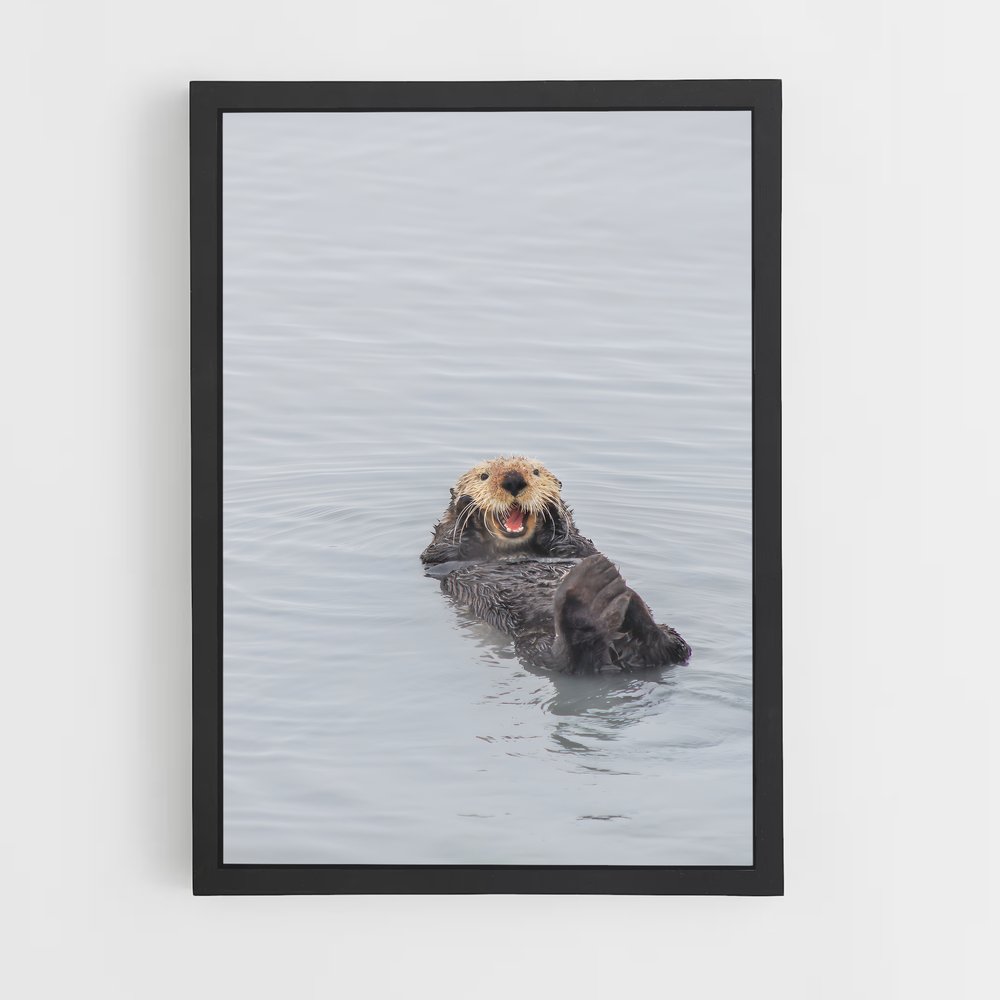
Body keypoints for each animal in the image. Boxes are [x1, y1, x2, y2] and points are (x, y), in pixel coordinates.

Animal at [421, 456, 690, 673]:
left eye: (535, 472)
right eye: (483, 476)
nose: (513, 480)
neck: (513, 549)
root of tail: (617, 652)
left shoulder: (582, 547)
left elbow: (573, 541)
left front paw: (552, 507)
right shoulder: (438, 557)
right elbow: (444, 547)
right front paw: (467, 506)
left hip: (668, 635)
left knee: (674, 647)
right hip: (534, 641)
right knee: (564, 660)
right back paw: (593, 594)